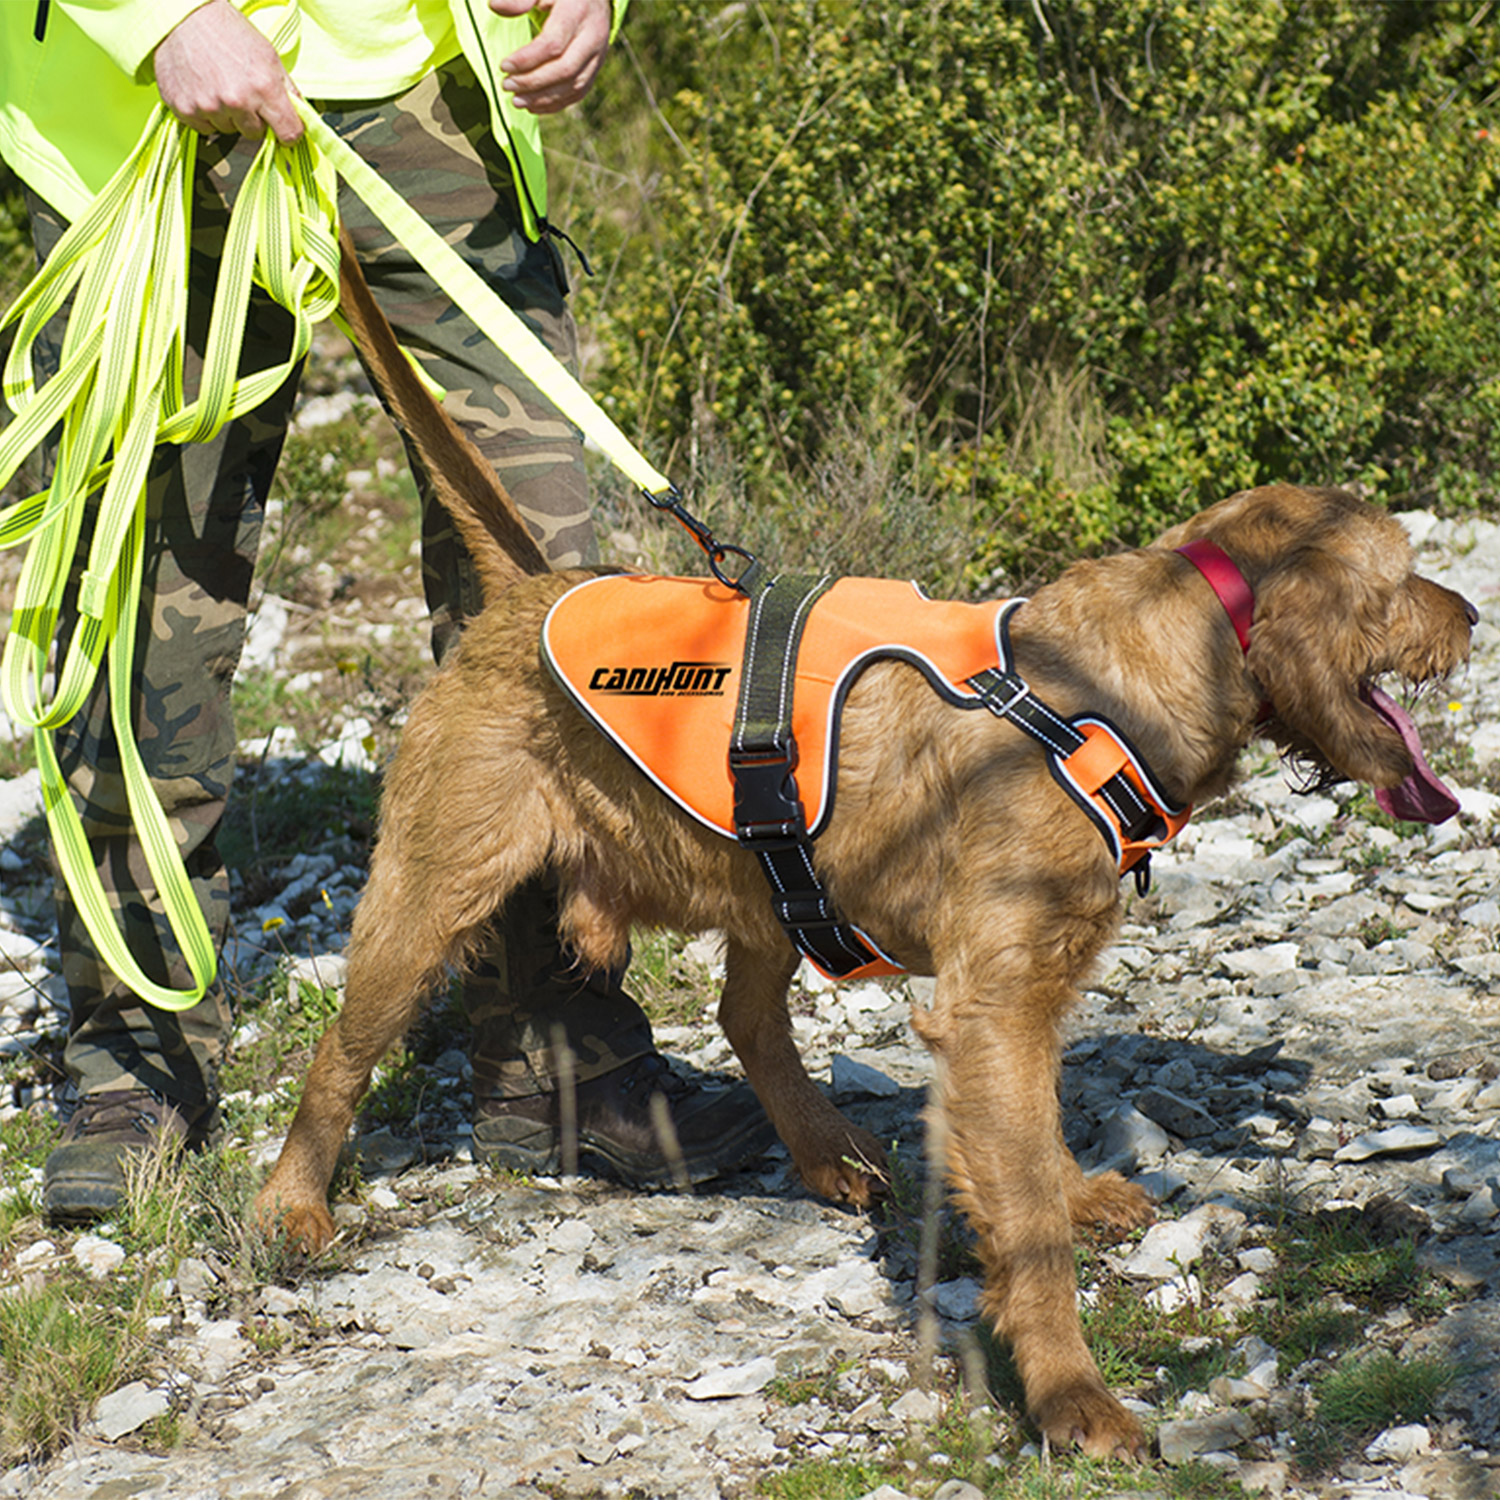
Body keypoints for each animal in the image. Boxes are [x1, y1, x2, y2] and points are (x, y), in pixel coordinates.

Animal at [252, 243, 1470, 1452]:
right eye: (1401, 575)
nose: (1466, 615)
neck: (1099, 692)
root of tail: (522, 594)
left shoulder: (1028, 992)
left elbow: (1035, 1145)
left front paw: (1076, 1196)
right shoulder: (995, 1001)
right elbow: (1026, 1218)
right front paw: (1070, 1391)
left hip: (771, 879)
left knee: (747, 1019)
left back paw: (825, 1151)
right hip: (426, 895)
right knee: (339, 1056)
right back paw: (292, 1204)